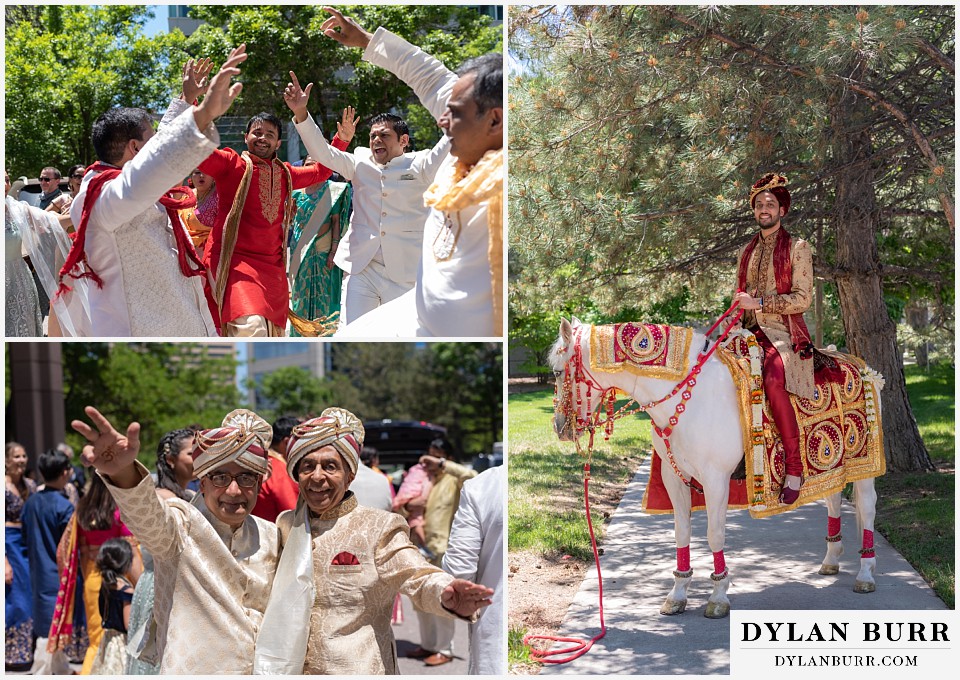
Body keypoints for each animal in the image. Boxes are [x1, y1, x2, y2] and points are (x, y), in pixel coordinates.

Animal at [552, 316, 880, 620]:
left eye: (557, 371)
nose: (559, 428)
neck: (688, 398)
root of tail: (859, 365)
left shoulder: (715, 479)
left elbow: (715, 534)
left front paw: (718, 595)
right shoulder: (674, 477)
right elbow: (681, 532)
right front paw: (677, 594)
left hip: (864, 466)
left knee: (867, 507)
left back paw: (865, 573)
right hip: (834, 467)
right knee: (833, 499)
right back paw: (831, 560)